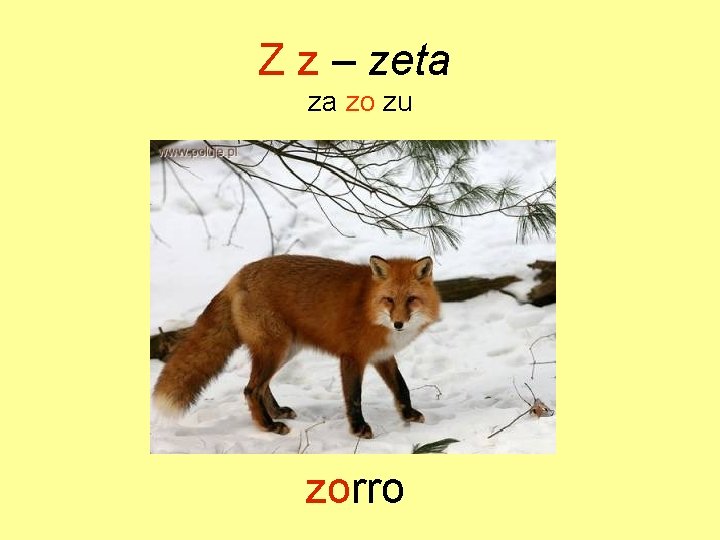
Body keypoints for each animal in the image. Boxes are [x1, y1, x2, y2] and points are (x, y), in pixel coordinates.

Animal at [152, 254, 441, 439]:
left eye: (411, 299)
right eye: (389, 300)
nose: (399, 324)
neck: (369, 307)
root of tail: (237, 276)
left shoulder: (382, 356)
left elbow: (401, 388)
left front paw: (409, 414)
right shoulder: (352, 357)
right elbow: (354, 398)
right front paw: (358, 429)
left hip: (284, 350)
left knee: (262, 386)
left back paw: (276, 412)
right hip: (275, 348)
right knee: (250, 389)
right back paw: (268, 426)